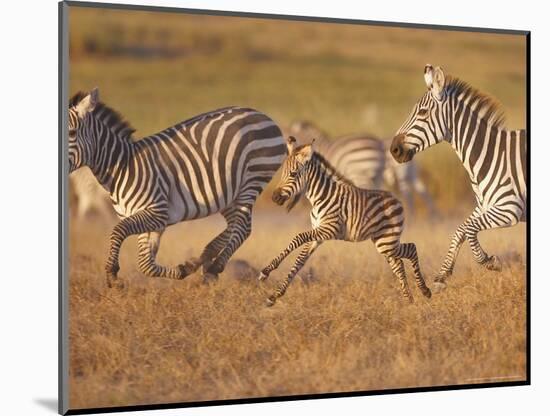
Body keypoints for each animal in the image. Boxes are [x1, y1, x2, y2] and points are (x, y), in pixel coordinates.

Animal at [256, 136, 434, 306]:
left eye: (293, 174)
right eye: (282, 174)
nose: (274, 197)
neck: (321, 196)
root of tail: (395, 199)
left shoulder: (329, 229)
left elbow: (297, 238)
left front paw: (266, 271)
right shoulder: (318, 235)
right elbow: (299, 261)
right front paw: (274, 295)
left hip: (387, 241)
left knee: (411, 249)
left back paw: (424, 291)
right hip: (383, 242)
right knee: (399, 264)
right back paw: (408, 300)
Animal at [392, 65, 532, 290]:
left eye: (422, 112)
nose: (393, 150)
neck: (490, 155)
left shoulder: (509, 209)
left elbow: (468, 228)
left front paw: (489, 261)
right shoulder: (485, 206)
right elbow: (460, 230)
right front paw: (442, 276)